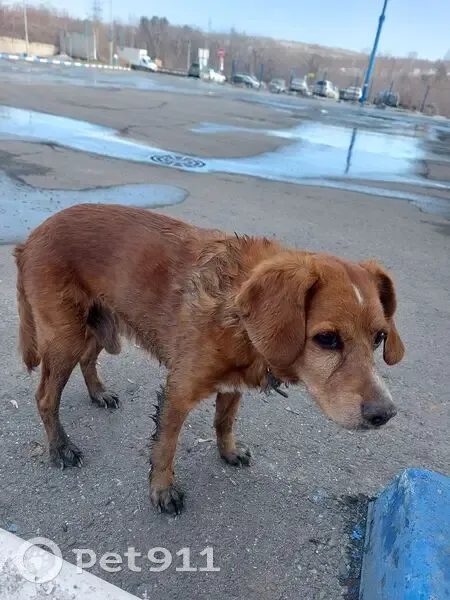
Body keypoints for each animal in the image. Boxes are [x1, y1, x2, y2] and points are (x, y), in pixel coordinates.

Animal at [14, 203, 405, 514]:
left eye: (379, 338)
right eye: (327, 339)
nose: (384, 415)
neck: (237, 315)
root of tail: (30, 237)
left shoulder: (233, 385)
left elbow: (224, 422)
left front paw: (228, 452)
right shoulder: (178, 392)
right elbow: (165, 446)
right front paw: (163, 490)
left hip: (97, 325)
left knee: (88, 359)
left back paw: (98, 393)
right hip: (66, 337)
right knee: (46, 397)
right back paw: (60, 448)